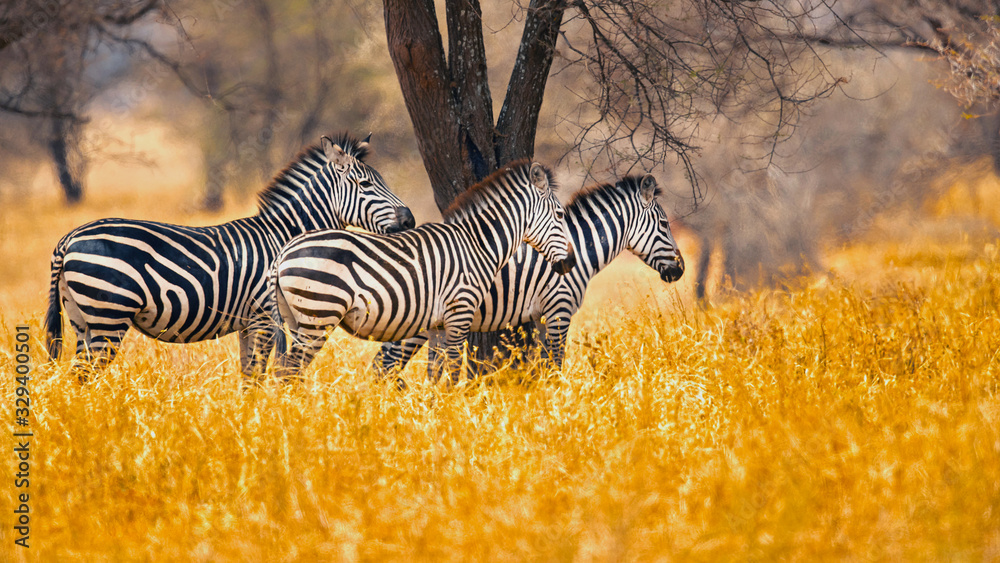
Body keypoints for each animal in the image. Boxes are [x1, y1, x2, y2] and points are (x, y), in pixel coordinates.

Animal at [46, 133, 414, 382]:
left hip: (82, 318)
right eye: (365, 184)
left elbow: (248, 375)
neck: (285, 234)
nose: (410, 219)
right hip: (109, 314)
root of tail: (69, 237)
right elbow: (258, 374)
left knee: (76, 376)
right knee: (86, 374)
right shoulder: (265, 316)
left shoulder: (248, 322)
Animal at [272, 162, 580, 384]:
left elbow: (435, 373)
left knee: (283, 370)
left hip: (297, 320)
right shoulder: (460, 314)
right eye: (560, 215)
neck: (477, 244)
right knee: (290, 371)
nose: (570, 263)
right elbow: (453, 371)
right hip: (318, 315)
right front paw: (455, 413)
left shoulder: (437, 325)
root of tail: (284, 251)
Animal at [376, 174, 688, 376]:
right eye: (664, 224)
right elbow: (556, 364)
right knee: (386, 366)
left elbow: (542, 364)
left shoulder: (540, 316)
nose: (681, 270)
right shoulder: (559, 310)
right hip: (412, 322)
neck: (578, 251)